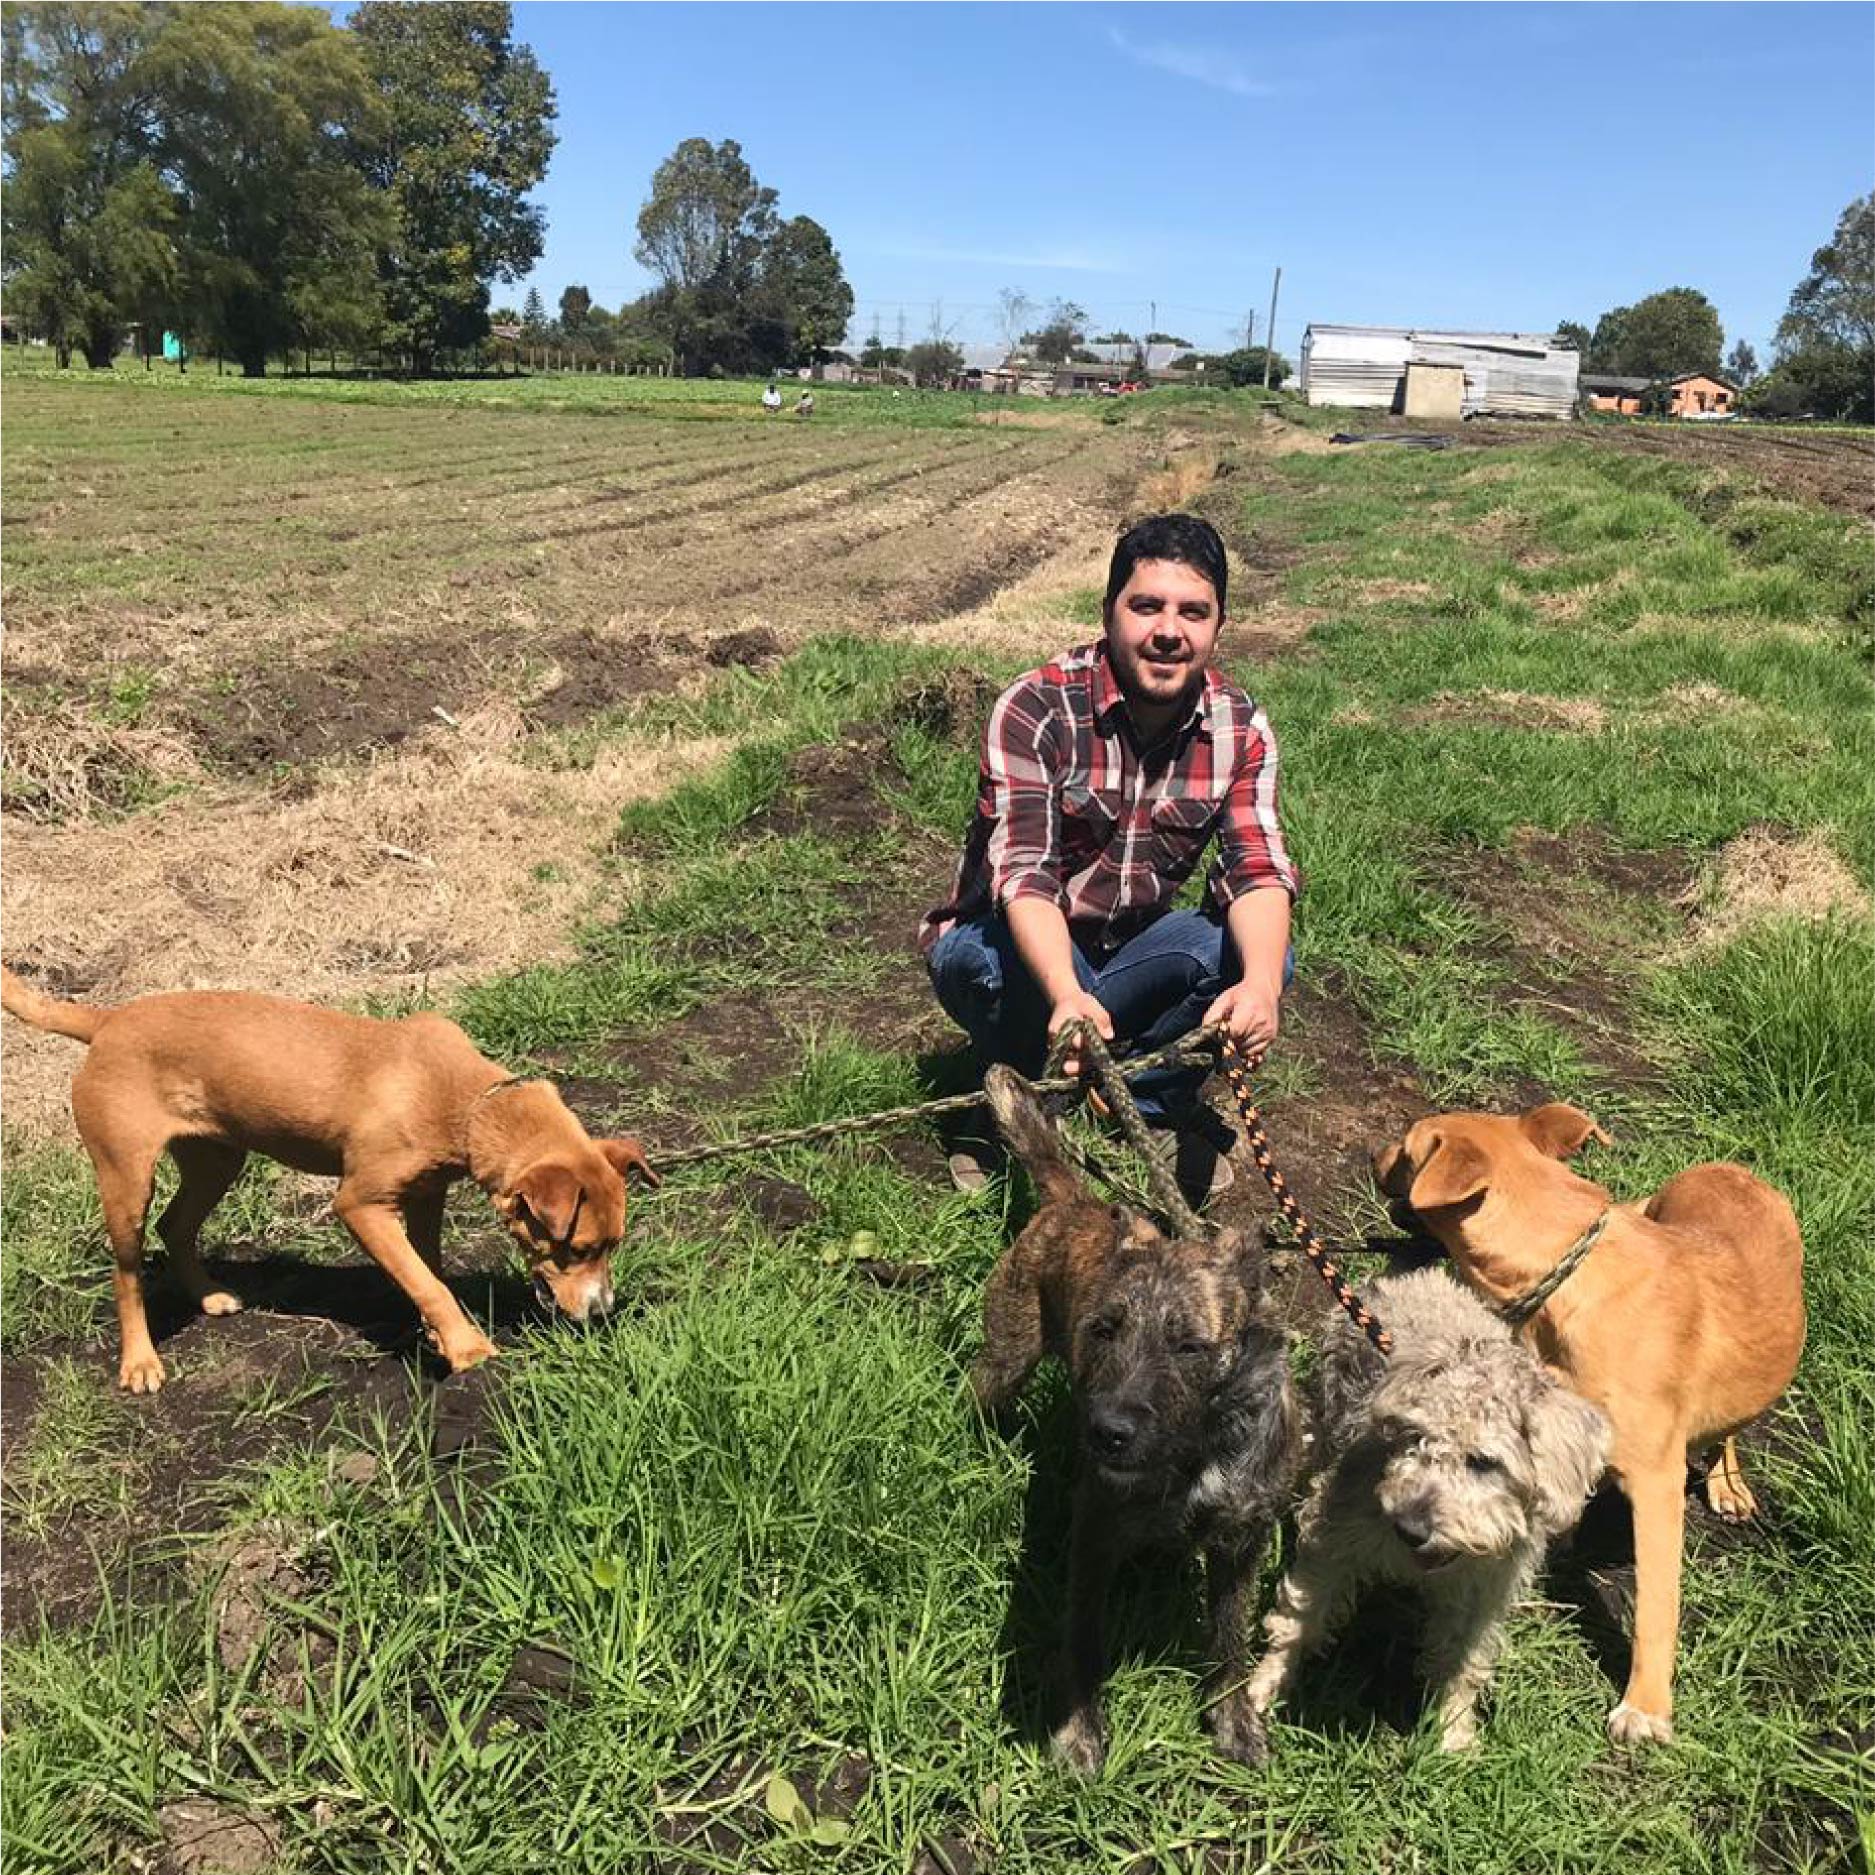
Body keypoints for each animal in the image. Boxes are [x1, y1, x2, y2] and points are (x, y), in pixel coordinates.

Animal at [1, 967, 660, 1395]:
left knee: (176, 1224)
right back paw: (140, 1362)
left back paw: (209, 1296)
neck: (468, 1103)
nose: (604, 1313)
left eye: (614, 1246)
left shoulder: (426, 1195)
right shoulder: (361, 1204)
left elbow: (428, 1273)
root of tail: (107, 1021)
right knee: (128, 1272)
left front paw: (439, 1334)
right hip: (125, 1177)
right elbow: (428, 1282)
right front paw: (469, 1351)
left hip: (218, 1158)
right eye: (579, 1249)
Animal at [975, 1072, 1297, 1770]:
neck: (1195, 1451)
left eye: (1191, 1347)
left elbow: (1229, 1640)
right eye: (1102, 1329)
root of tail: (1079, 1202)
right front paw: (1079, 1729)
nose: (1106, 1432)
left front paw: (1233, 1718)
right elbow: (1084, 1636)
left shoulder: (1242, 1543)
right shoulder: (1095, 1531)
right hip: (1007, 1354)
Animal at [1252, 1267, 1605, 1747]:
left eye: (1484, 1461)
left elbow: (1463, 1660)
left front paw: (1454, 1734)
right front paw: (1263, 1685)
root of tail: (1411, 1278)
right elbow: (1300, 1615)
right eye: (1414, 1437)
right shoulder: (1334, 1536)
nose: (1409, 1528)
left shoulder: (1484, 1592)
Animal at [1380, 1102, 1800, 1747]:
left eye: (1404, 1151)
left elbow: (1656, 1605)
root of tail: (1733, 1169)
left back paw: (1727, 1482)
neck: (1570, 1271)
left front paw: (1646, 1707)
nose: (1373, 1155)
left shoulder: (1656, 1485)